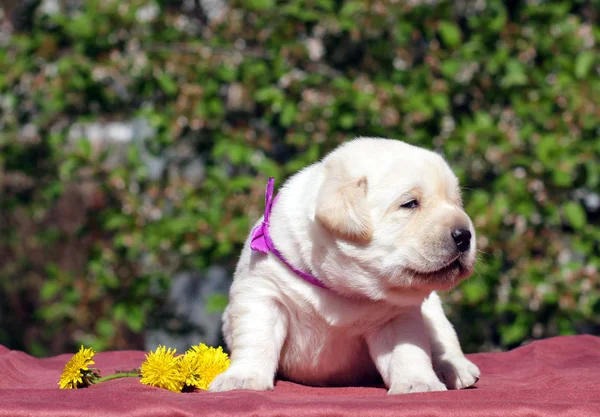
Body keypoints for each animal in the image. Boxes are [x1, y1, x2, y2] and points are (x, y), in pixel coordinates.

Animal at [209, 137, 480, 394]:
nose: (464, 235)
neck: (344, 289)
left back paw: (456, 368)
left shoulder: (398, 316)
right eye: (410, 203)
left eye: (457, 203)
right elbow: (256, 340)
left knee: (444, 338)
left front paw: (418, 382)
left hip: (434, 312)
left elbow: (407, 350)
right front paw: (242, 379)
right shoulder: (263, 292)